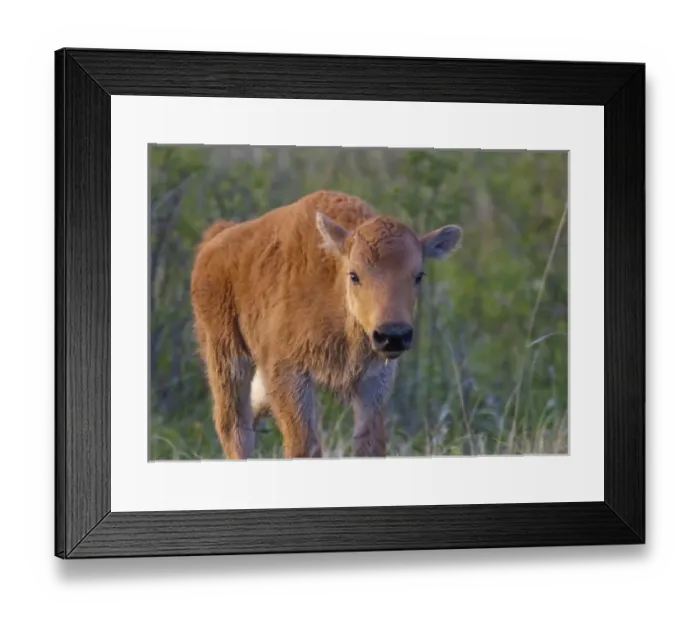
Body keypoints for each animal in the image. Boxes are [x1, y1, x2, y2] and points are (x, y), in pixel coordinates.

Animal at [190, 190, 463, 460]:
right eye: (354, 275)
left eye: (418, 276)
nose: (392, 335)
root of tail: (213, 244)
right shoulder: (289, 373)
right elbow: (304, 446)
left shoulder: (375, 380)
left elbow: (369, 444)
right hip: (227, 359)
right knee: (235, 430)